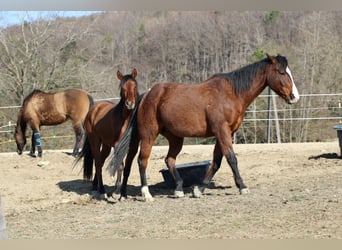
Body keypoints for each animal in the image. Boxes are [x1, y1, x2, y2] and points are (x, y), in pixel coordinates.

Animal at [75, 68, 139, 197]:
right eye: (122, 87)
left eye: (134, 86)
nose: (130, 104)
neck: (125, 119)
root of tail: (94, 109)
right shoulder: (117, 145)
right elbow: (120, 165)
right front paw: (116, 191)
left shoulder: (130, 147)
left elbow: (126, 167)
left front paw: (120, 191)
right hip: (95, 141)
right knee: (98, 163)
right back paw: (102, 190)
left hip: (106, 145)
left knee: (101, 161)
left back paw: (96, 186)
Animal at [111, 54, 300, 201]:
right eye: (282, 72)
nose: (294, 96)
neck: (232, 93)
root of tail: (146, 95)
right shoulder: (222, 131)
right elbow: (231, 159)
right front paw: (242, 186)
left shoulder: (225, 133)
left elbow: (217, 162)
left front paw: (199, 189)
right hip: (148, 135)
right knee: (142, 161)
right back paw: (146, 193)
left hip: (175, 137)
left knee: (169, 160)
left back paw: (178, 189)